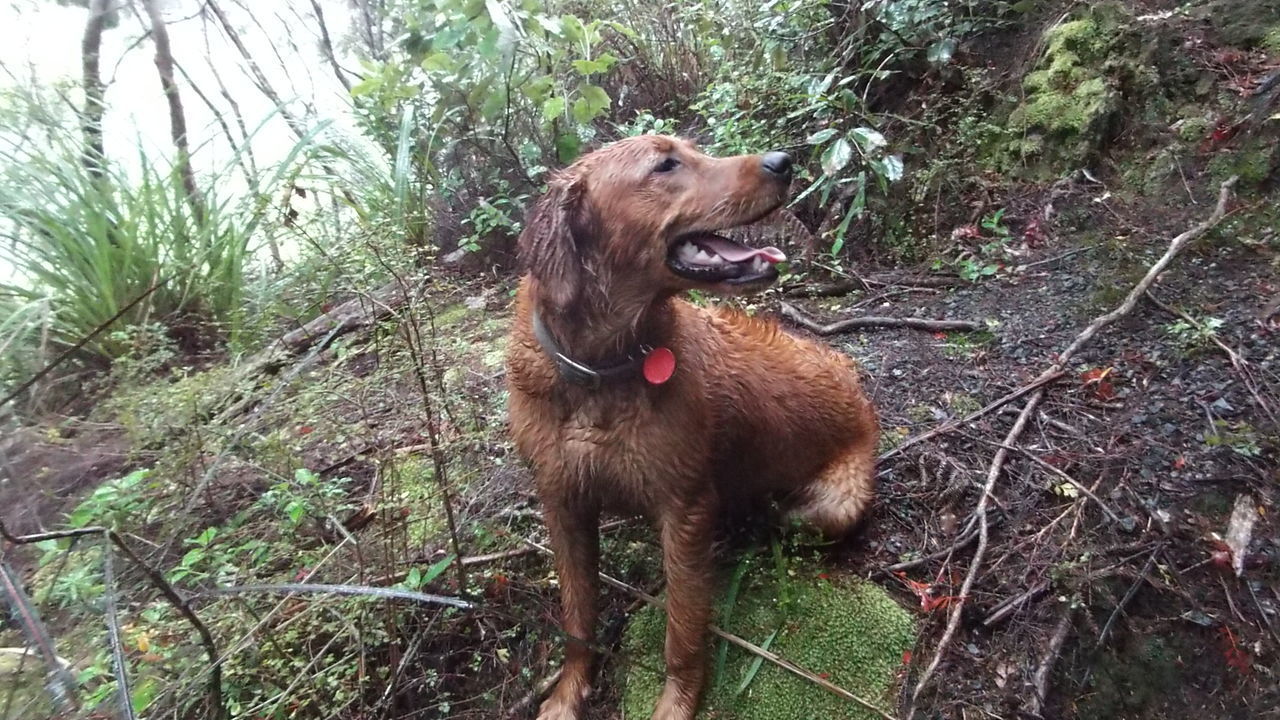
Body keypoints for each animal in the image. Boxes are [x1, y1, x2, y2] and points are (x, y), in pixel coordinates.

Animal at [506, 135, 880, 717]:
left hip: (832, 506)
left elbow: (681, 630)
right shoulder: (561, 500)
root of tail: (858, 390)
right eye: (665, 164)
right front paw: (567, 695)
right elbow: (577, 617)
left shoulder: (684, 508)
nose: (783, 162)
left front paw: (675, 704)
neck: (600, 371)